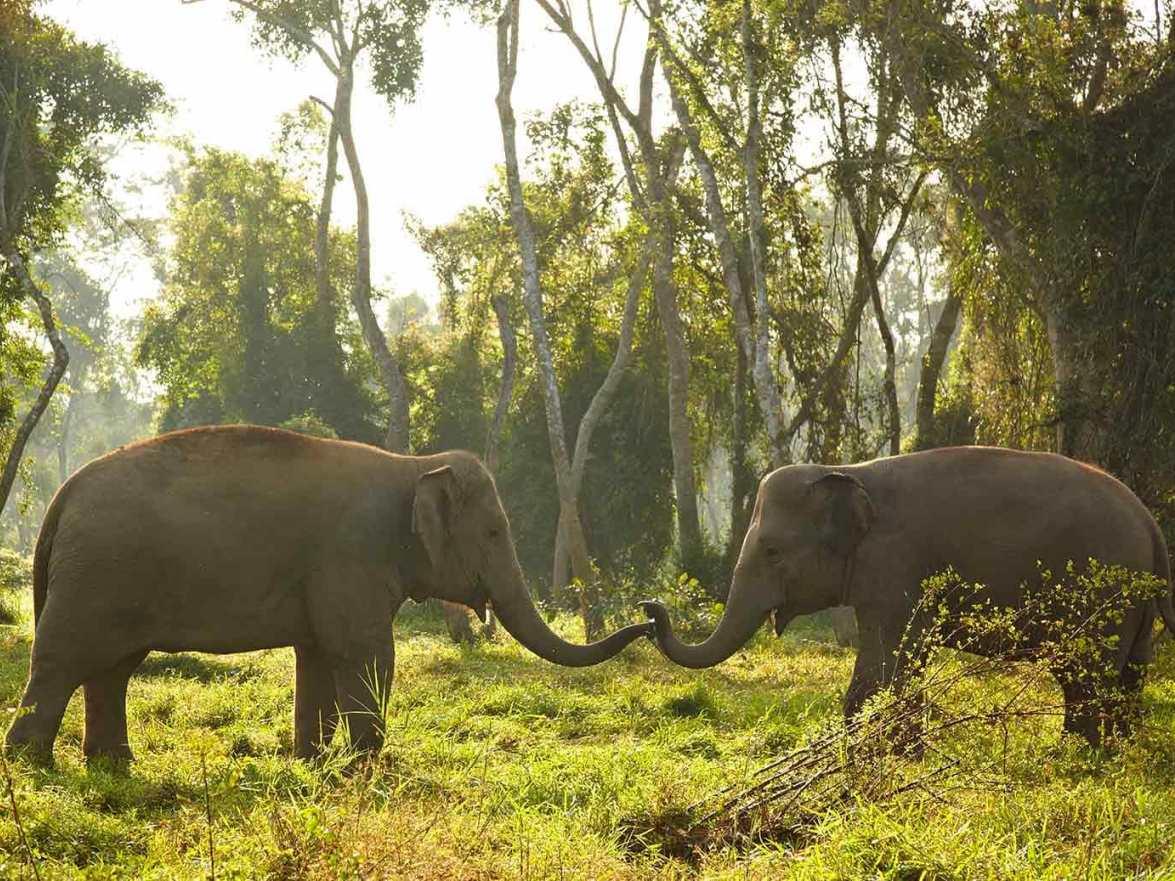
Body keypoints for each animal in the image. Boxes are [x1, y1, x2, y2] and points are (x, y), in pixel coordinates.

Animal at [6, 425, 651, 765]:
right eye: (494, 531)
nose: (652, 615)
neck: (413, 466)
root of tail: (61, 497)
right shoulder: (352, 557)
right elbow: (365, 653)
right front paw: (367, 767)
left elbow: (316, 656)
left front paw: (312, 764)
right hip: (96, 575)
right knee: (63, 661)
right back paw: (33, 765)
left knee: (112, 668)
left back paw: (112, 767)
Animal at [642, 446, 1175, 746]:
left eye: (772, 551)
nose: (650, 609)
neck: (846, 470)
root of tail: (1150, 523)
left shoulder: (896, 563)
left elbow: (888, 661)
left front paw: (882, 754)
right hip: (1134, 604)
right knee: (1127, 674)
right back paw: (1113, 753)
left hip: (1106, 595)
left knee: (1085, 677)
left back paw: (1072, 756)